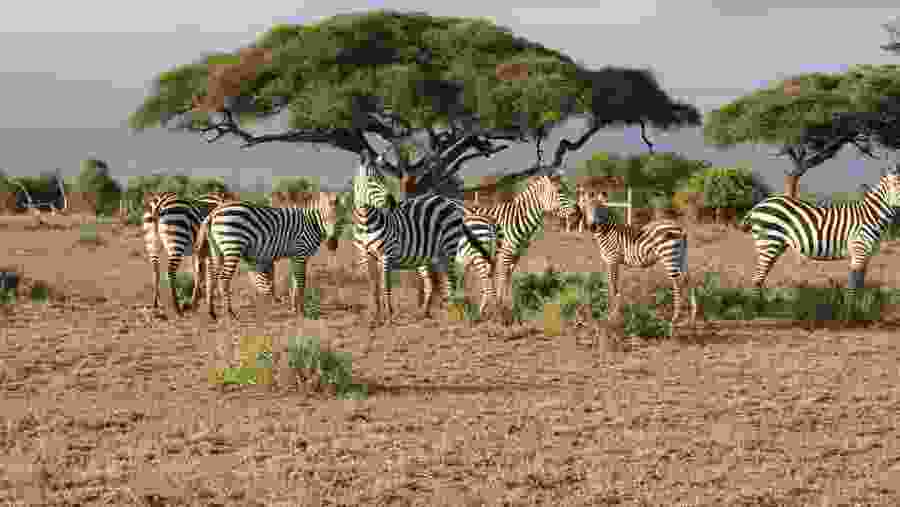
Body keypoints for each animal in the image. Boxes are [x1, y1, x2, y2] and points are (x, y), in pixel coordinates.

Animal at [193, 191, 343, 320]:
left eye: (341, 220)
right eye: (325, 218)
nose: (332, 244)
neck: (312, 223)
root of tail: (214, 213)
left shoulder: (295, 257)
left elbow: (295, 281)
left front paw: (294, 308)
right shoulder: (301, 254)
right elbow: (301, 282)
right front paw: (301, 310)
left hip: (216, 249)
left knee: (211, 277)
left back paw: (212, 313)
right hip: (232, 245)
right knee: (224, 278)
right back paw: (230, 313)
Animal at [352, 156, 499, 322]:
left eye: (383, 178)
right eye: (370, 180)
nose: (391, 202)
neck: (366, 222)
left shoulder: (386, 255)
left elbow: (385, 286)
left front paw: (389, 315)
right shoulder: (365, 257)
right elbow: (373, 287)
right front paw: (375, 316)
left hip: (459, 251)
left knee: (461, 280)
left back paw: (462, 313)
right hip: (437, 254)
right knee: (437, 283)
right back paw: (429, 312)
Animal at [583, 194, 694, 324]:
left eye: (600, 209)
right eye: (586, 209)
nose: (592, 226)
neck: (607, 232)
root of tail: (680, 228)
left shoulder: (612, 260)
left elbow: (613, 286)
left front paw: (613, 316)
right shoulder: (612, 262)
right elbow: (613, 285)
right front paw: (614, 313)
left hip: (669, 256)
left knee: (678, 284)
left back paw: (675, 317)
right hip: (680, 256)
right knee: (687, 279)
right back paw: (692, 316)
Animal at [740, 166, 900, 300]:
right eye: (895, 185)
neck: (871, 215)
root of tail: (758, 205)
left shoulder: (867, 254)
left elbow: (860, 284)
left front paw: (861, 308)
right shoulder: (859, 250)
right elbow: (853, 286)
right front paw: (850, 311)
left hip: (775, 245)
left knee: (761, 276)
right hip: (768, 242)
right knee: (757, 278)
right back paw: (756, 308)